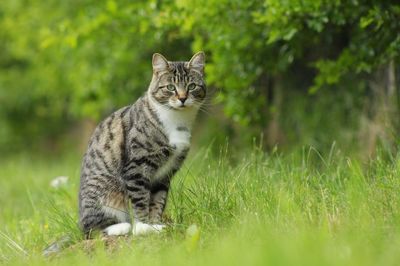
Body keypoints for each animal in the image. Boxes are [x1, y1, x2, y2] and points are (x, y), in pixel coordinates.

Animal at [78, 52, 206, 237]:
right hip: (103, 194)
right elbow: (140, 200)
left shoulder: (165, 174)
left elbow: (158, 201)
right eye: (170, 87)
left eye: (192, 86)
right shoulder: (136, 167)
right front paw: (143, 227)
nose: (182, 98)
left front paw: (156, 224)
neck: (177, 121)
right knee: (93, 229)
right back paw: (121, 226)